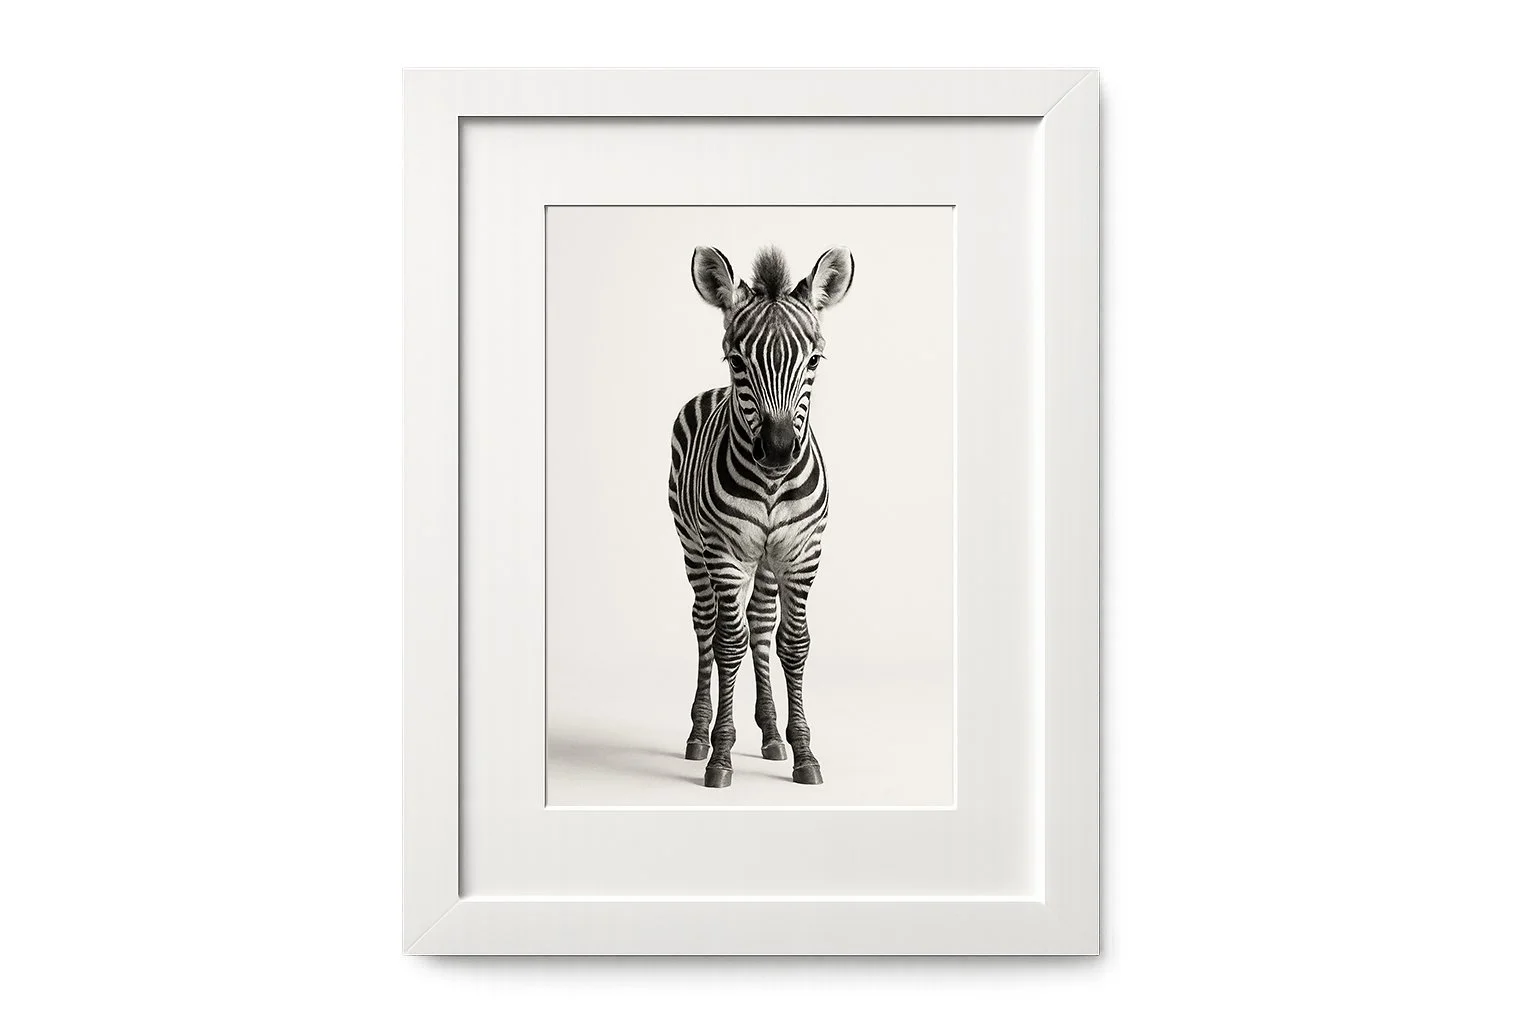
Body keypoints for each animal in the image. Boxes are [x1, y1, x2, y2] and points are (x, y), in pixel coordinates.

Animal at [668, 244, 855, 789]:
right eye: (736, 360)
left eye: (814, 359)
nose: (776, 451)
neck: (771, 485)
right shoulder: (725, 555)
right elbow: (727, 645)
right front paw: (721, 755)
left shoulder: (802, 554)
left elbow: (793, 643)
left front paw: (804, 752)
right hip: (692, 546)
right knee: (706, 626)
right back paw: (699, 734)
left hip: (768, 562)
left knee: (760, 623)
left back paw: (772, 735)